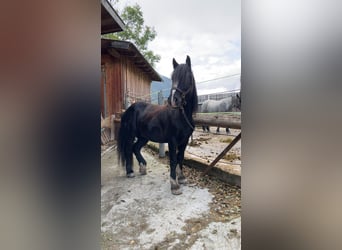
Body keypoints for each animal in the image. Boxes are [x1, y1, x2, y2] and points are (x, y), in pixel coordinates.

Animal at [117, 55, 198, 194]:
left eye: (187, 76)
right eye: (173, 77)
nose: (173, 100)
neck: (181, 115)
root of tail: (130, 108)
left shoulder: (185, 140)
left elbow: (181, 157)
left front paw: (181, 178)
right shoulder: (172, 141)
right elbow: (173, 159)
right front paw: (174, 185)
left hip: (144, 137)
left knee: (135, 148)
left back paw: (143, 168)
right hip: (130, 135)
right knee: (128, 149)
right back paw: (130, 172)